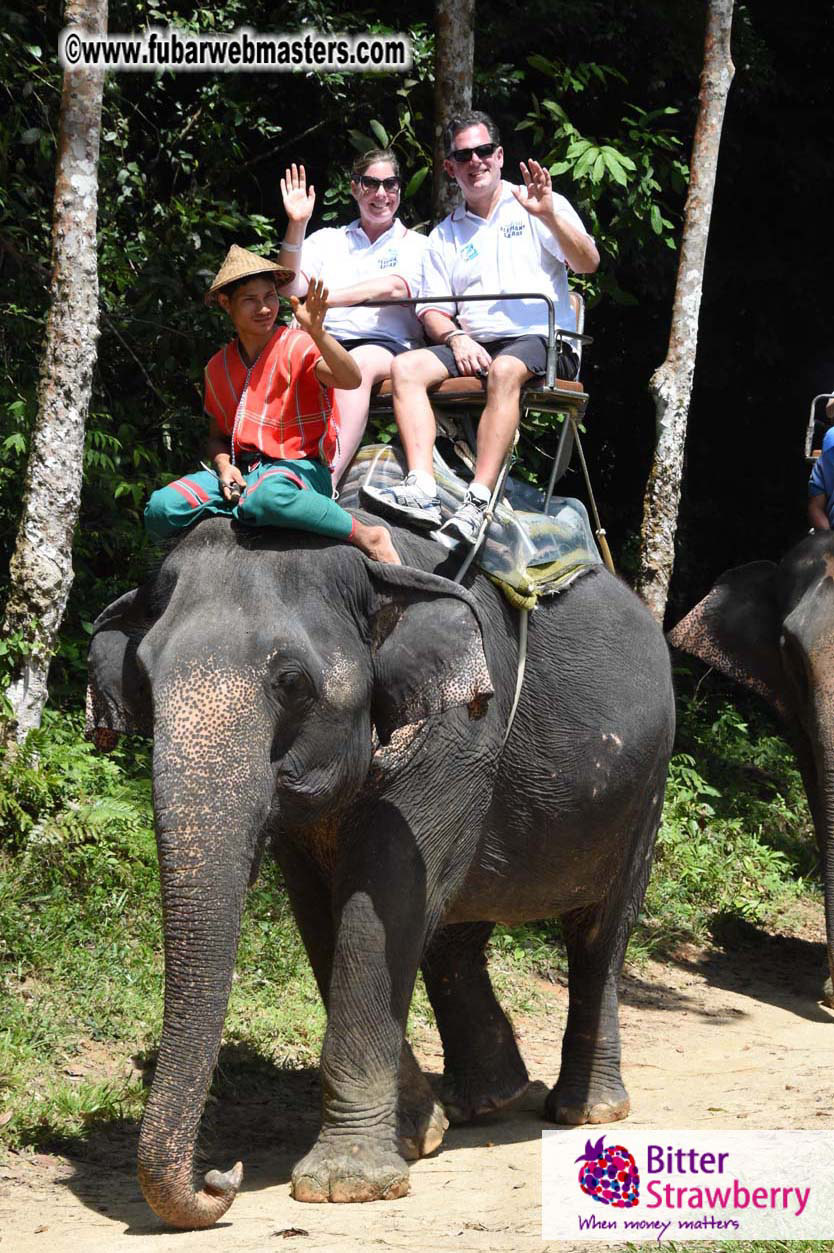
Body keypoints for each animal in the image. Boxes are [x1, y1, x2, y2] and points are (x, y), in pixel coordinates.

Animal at [87, 512, 675, 1230]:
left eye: (292, 682)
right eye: (143, 679)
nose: (221, 1174)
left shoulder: (456, 735)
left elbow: (380, 905)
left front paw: (346, 1183)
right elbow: (323, 914)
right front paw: (415, 1135)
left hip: (645, 786)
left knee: (599, 934)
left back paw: (584, 1110)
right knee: (455, 936)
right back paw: (486, 1101)